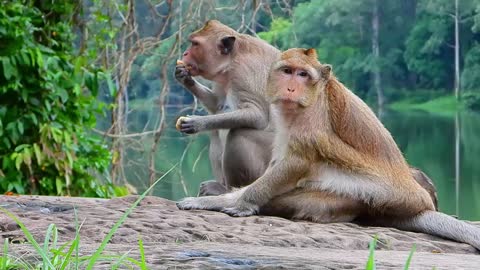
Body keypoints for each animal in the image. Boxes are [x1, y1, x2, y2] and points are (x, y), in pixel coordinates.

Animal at [177, 48, 480, 249]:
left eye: (303, 74)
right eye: (287, 71)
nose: (291, 88)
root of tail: (417, 206)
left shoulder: (311, 119)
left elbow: (294, 164)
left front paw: (236, 202)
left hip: (356, 198)